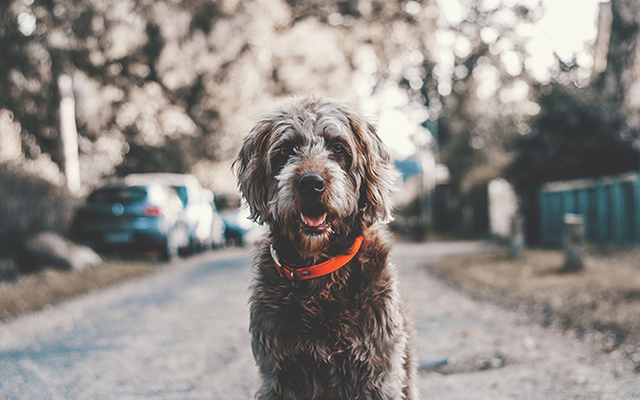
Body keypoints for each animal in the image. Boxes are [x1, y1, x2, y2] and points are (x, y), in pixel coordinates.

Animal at [232, 97, 418, 400]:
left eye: (338, 147)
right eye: (286, 150)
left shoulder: (377, 370)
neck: (320, 269)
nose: (311, 183)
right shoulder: (278, 374)